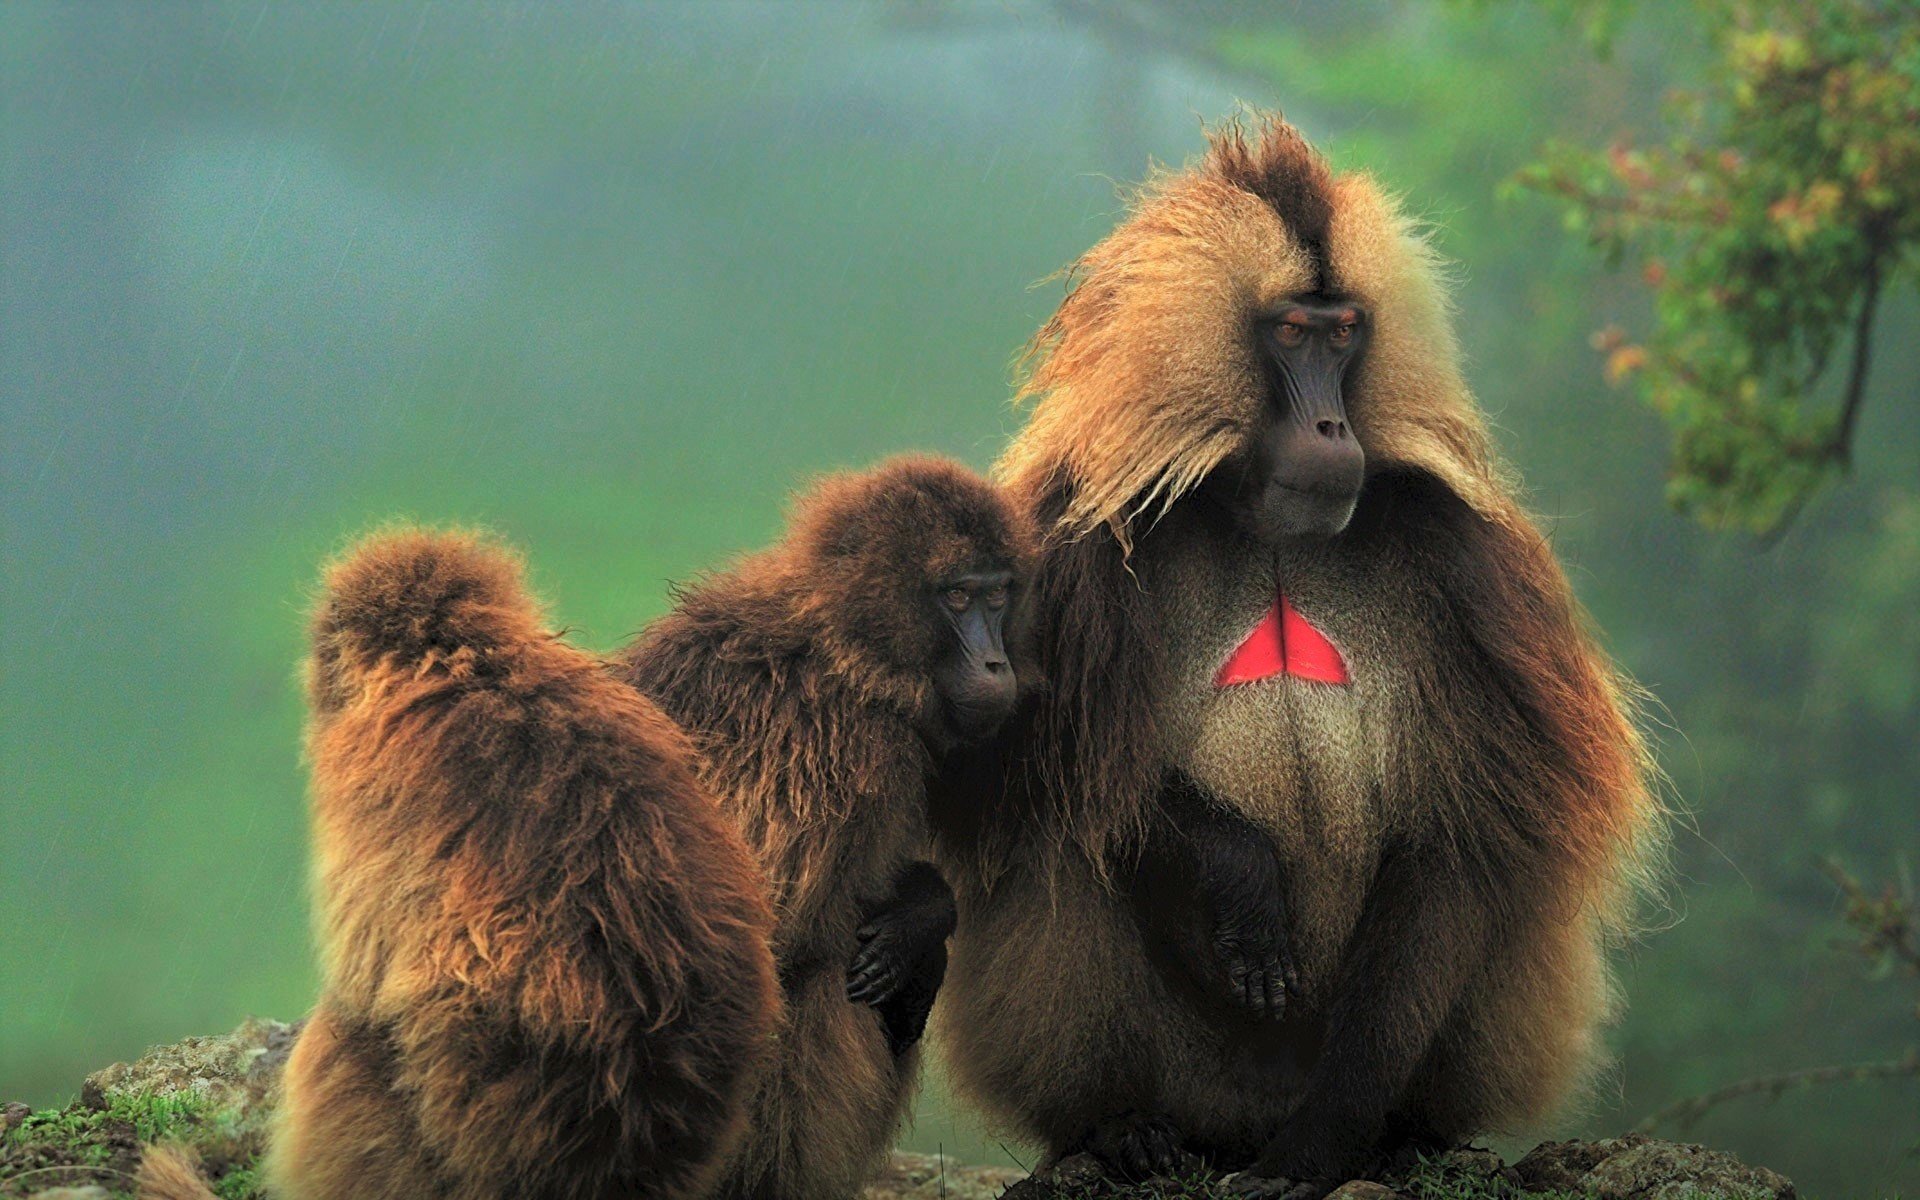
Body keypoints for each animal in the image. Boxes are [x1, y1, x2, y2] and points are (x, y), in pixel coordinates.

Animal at [615, 454, 1035, 1200]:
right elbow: (766, 945)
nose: (996, 664)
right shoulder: (847, 751)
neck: (849, 654)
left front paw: (923, 911)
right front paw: (925, 911)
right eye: (957, 596)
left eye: (998, 595)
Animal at [930, 115, 1666, 1199]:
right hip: (1194, 1079)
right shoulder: (1067, 550)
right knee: (1060, 830)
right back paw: (1119, 1131)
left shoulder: (1466, 564)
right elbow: (1025, 777)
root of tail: (1238, 1119)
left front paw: (1330, 1139)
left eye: (1346, 329)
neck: (1262, 517)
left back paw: (1402, 1136)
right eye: (1289, 332)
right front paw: (1243, 874)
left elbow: (1466, 835)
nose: (1330, 426)